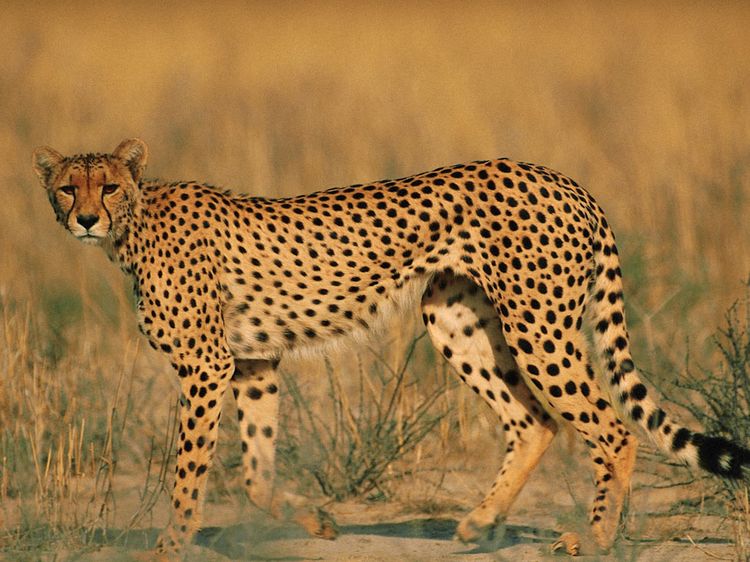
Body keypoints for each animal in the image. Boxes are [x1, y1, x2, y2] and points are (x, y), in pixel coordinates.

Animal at [32, 138, 749, 556]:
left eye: (109, 185)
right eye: (69, 186)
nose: (86, 218)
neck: (134, 224)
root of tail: (563, 178)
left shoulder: (206, 366)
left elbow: (188, 473)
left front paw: (170, 546)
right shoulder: (254, 360)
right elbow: (256, 472)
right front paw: (316, 523)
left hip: (537, 326)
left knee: (611, 428)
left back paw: (596, 537)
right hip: (454, 319)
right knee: (535, 421)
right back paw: (479, 523)